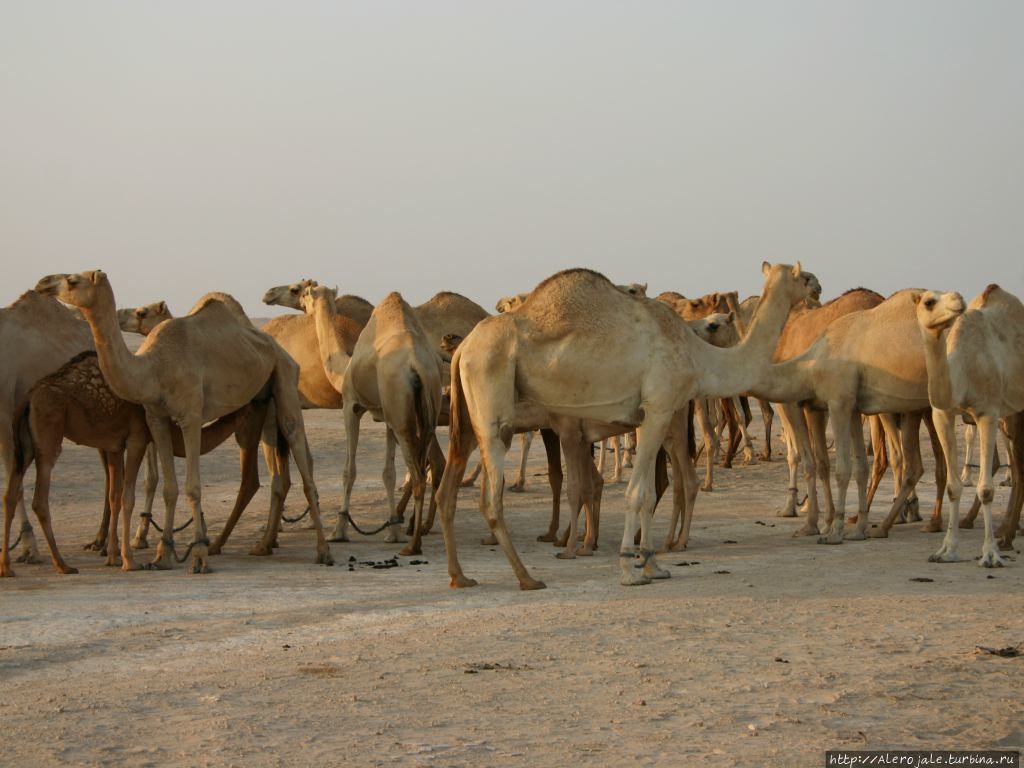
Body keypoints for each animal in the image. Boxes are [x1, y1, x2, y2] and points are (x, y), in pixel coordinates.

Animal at [35, 270, 331, 573]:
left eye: (72, 281)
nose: (42, 283)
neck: (154, 369)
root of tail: (277, 347)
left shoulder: (190, 416)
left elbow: (193, 487)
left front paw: (198, 555)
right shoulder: (156, 418)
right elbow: (169, 488)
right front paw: (162, 554)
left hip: (284, 377)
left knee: (299, 452)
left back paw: (323, 551)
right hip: (259, 403)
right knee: (260, 473)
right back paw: (252, 546)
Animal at [303, 286, 444, 557]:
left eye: (302, 291)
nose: (303, 305)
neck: (344, 367)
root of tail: (418, 365)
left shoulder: (351, 405)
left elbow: (349, 470)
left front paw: (339, 530)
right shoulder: (387, 415)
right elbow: (388, 473)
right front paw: (392, 530)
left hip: (402, 411)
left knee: (420, 475)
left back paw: (413, 545)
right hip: (422, 410)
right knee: (429, 466)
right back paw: (414, 530)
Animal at [436, 262, 819, 593]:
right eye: (803, 275)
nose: (817, 287)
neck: (698, 354)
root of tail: (463, 348)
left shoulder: (649, 416)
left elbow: (648, 493)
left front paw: (652, 564)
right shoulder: (659, 407)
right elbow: (636, 494)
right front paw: (628, 569)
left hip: (471, 415)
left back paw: (462, 577)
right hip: (491, 394)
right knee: (490, 496)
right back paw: (526, 577)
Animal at [913, 286, 1024, 569]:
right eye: (929, 301)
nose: (957, 299)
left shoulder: (988, 413)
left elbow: (986, 489)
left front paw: (990, 554)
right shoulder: (943, 414)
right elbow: (953, 487)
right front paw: (946, 550)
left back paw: (1005, 539)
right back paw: (1007, 536)